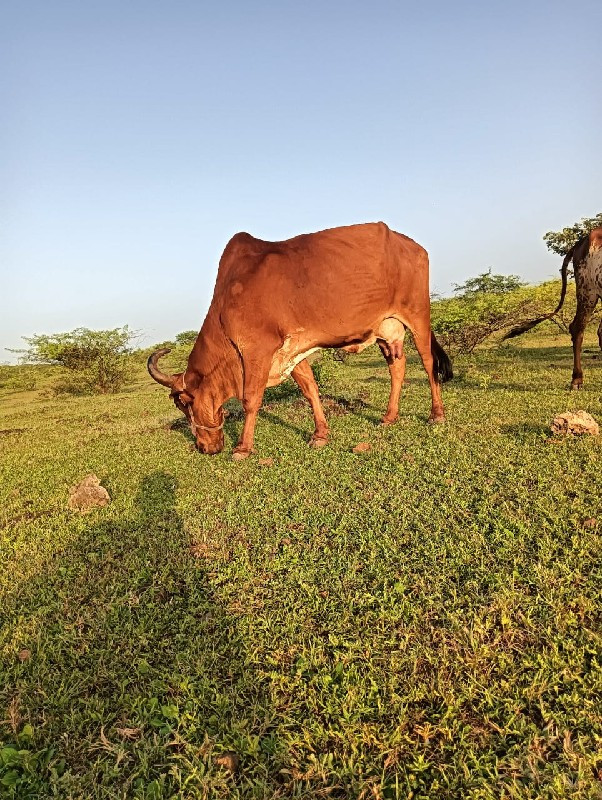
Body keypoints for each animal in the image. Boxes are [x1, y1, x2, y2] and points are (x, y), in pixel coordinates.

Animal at [149, 220, 450, 456]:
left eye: (184, 403)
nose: (203, 447)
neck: (225, 311)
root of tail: (413, 245)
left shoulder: (258, 350)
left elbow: (250, 399)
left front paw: (243, 448)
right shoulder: (291, 351)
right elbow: (309, 389)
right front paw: (320, 434)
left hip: (418, 316)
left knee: (427, 362)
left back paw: (436, 414)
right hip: (385, 331)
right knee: (397, 367)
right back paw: (389, 416)